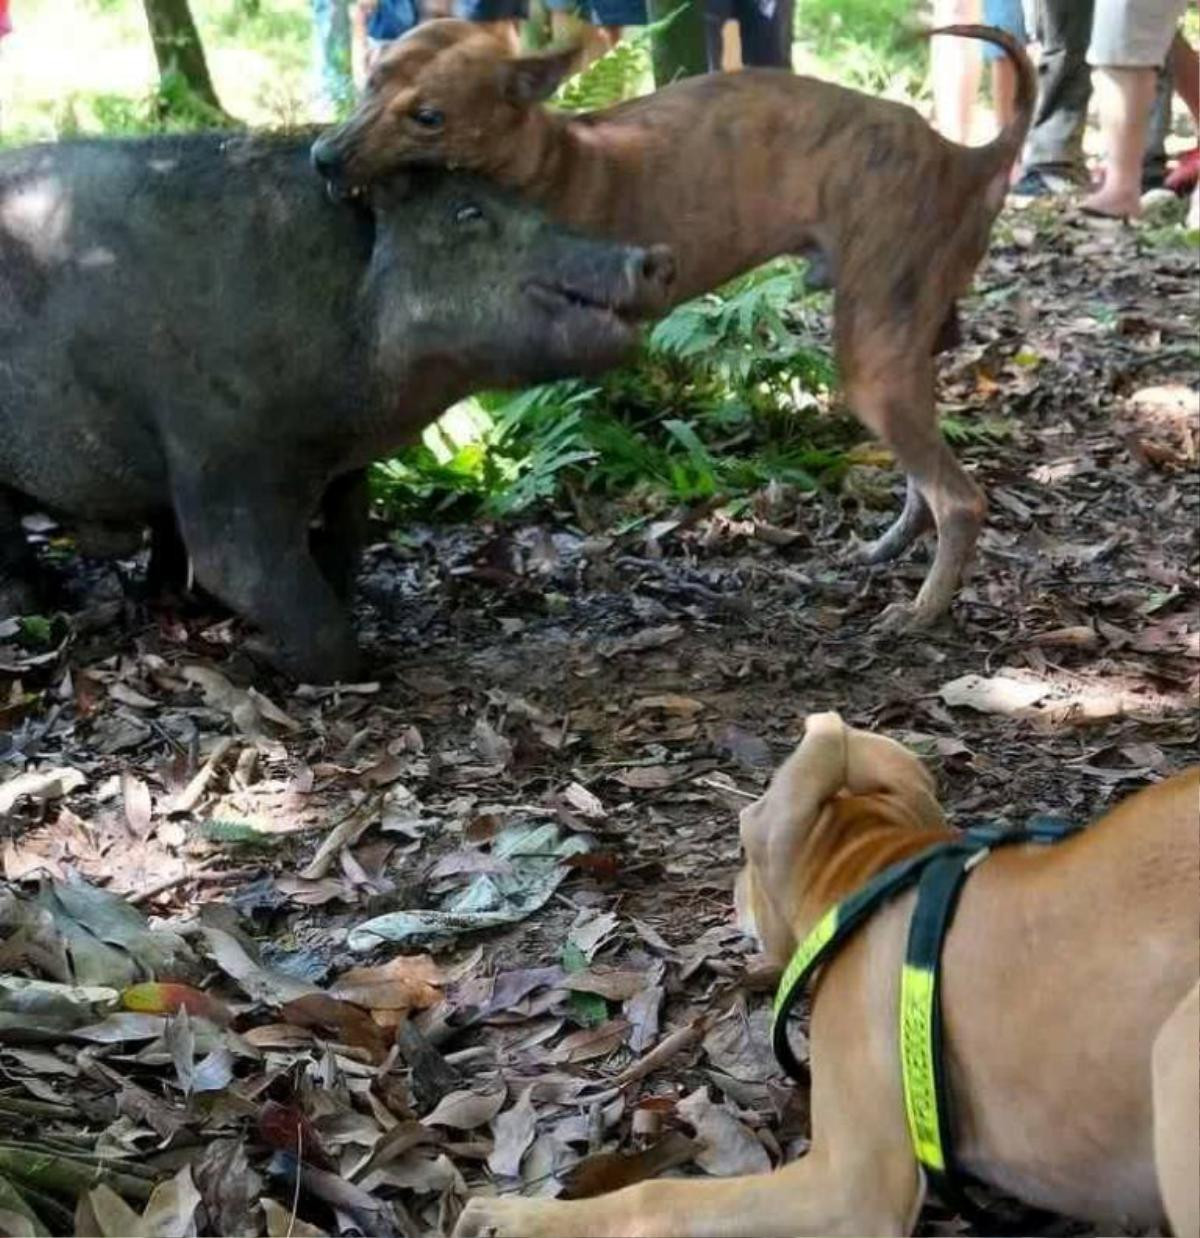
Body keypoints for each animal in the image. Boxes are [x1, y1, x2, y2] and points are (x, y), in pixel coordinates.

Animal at [313, 26, 1035, 628]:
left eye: (428, 118)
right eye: (371, 80)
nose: (322, 157)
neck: (547, 156)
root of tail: (965, 155)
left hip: (873, 360)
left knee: (959, 499)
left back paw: (924, 610)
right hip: (905, 348)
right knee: (924, 477)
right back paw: (890, 547)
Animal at [453, 718, 1198, 1238]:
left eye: (742, 853)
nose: (731, 892)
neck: (874, 874)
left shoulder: (847, 1194)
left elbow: (658, 1195)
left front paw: (515, 1219)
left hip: (1177, 1058)